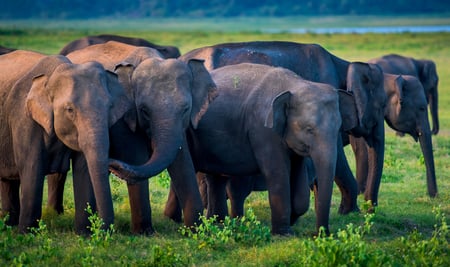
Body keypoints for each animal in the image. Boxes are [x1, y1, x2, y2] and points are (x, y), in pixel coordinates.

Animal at [0, 50, 133, 234]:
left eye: (110, 107)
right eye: (70, 110)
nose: (103, 229)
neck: (52, 76)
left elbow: (84, 170)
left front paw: (84, 235)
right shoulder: (24, 120)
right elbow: (32, 169)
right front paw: (27, 234)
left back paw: (8, 223)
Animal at [47, 40, 216, 236]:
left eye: (186, 109)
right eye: (144, 110)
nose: (112, 162)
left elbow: (182, 162)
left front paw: (195, 232)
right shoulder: (124, 119)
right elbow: (136, 158)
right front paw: (144, 233)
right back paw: (54, 214)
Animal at [128, 63, 342, 236]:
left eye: (339, 128)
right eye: (309, 129)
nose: (319, 235)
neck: (296, 84)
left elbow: (298, 183)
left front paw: (291, 221)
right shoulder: (263, 129)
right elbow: (277, 171)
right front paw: (283, 234)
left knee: (214, 177)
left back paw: (217, 222)